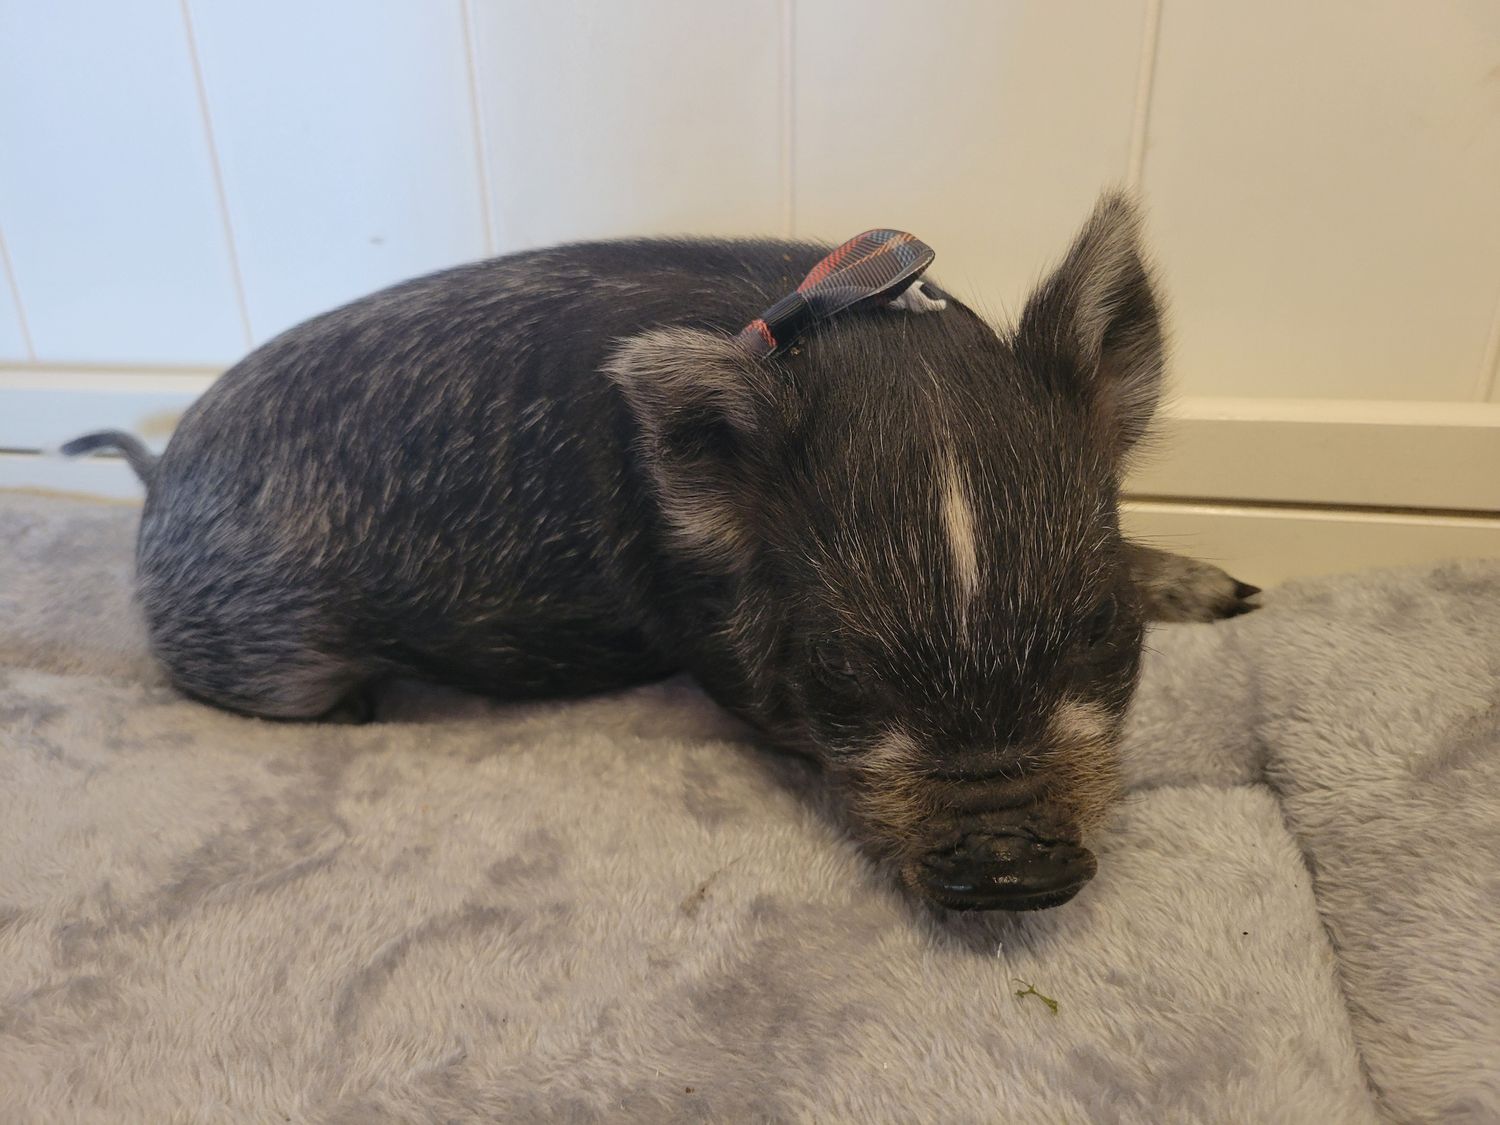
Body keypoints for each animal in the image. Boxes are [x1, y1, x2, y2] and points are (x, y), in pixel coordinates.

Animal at [64, 193, 1257, 911]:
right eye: (840, 670)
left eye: (1105, 625)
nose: (1012, 871)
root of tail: (158, 480)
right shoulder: (711, 634)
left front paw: (1235, 592)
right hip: (269, 649)